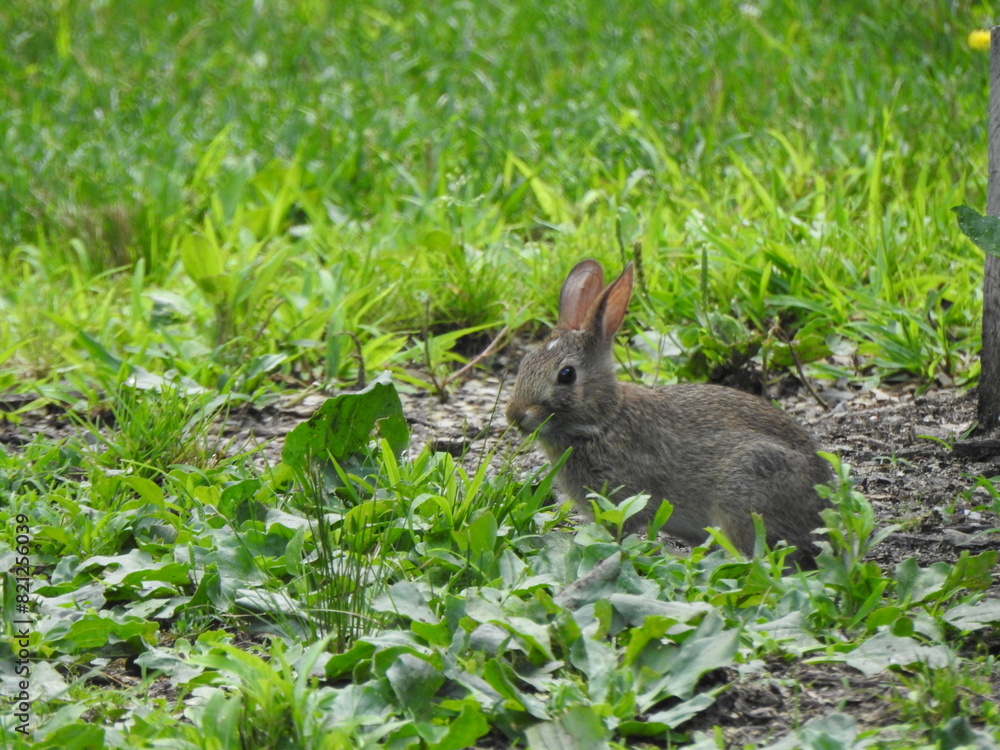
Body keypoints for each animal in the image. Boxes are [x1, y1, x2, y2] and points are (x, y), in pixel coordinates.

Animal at [505, 259, 833, 567]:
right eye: (524, 363)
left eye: (567, 375)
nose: (515, 415)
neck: (604, 420)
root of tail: (822, 512)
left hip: (746, 490)